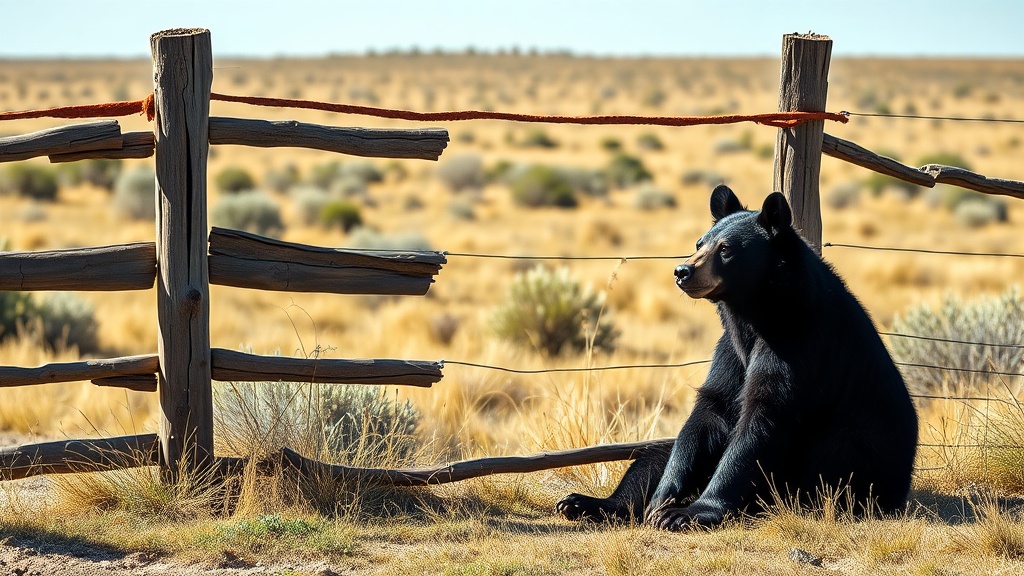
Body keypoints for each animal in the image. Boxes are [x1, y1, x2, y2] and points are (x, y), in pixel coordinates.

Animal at [556, 185, 918, 530]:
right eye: (699, 243)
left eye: (725, 249)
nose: (682, 271)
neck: (755, 311)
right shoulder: (730, 347)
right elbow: (708, 410)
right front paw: (662, 501)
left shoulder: (798, 342)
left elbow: (764, 417)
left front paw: (688, 513)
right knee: (653, 455)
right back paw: (583, 503)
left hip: (862, 457)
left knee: (833, 452)